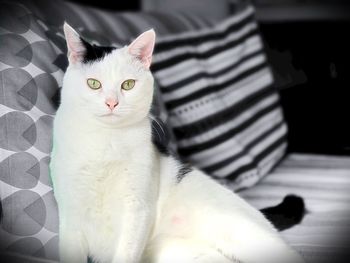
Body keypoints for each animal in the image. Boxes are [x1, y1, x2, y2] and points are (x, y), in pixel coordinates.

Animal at [49, 23, 304, 263]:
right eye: (93, 83)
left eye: (128, 85)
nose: (112, 103)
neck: (106, 142)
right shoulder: (70, 217)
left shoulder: (137, 209)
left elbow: (126, 251)